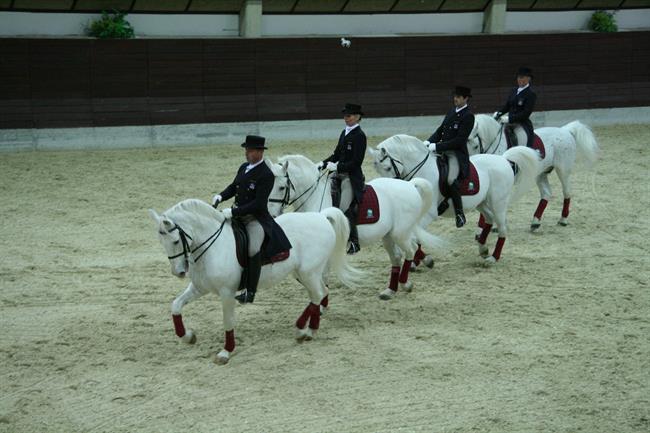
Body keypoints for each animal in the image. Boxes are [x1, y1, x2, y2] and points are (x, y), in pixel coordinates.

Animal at [148, 197, 364, 362]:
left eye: (176, 241)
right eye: (161, 242)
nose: (178, 272)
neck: (212, 246)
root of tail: (321, 217)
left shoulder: (227, 293)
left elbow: (228, 320)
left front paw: (225, 352)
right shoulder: (199, 287)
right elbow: (176, 305)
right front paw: (188, 336)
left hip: (308, 272)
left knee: (318, 294)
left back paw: (305, 330)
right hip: (303, 274)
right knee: (320, 294)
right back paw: (305, 329)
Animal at [266, 154, 442, 300]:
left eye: (281, 187)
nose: (272, 215)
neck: (314, 197)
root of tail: (410, 185)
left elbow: (321, 275)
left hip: (400, 232)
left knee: (411, 250)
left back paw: (406, 283)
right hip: (388, 235)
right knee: (398, 256)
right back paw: (390, 290)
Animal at [368, 135, 540, 264]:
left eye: (388, 168)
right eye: (377, 169)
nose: (391, 189)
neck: (423, 171)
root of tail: (503, 159)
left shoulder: (429, 214)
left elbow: (415, 237)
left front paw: (422, 260)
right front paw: (417, 260)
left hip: (498, 202)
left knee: (502, 227)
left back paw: (493, 258)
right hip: (481, 202)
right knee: (489, 219)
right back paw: (483, 248)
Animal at [466, 114, 596, 230]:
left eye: (476, 146)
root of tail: (565, 131)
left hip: (563, 170)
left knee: (567, 192)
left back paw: (563, 219)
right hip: (541, 174)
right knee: (546, 193)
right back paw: (535, 222)